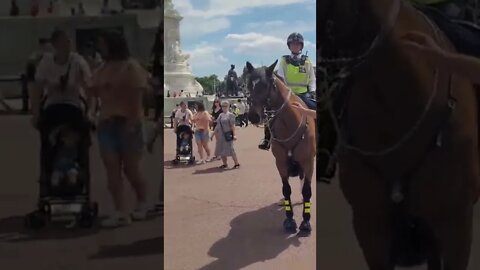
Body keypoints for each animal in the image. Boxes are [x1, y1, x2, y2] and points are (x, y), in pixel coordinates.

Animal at [246, 60, 316, 232]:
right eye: (249, 85)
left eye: (265, 85)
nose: (253, 116)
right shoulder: (281, 163)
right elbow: (286, 190)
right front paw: (290, 220)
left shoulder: (308, 162)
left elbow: (307, 190)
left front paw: (306, 222)